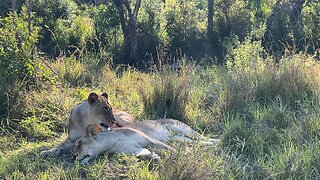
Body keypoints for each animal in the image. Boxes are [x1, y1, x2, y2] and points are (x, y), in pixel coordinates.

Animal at [74, 119, 220, 164]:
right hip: (177, 137)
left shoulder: (151, 140)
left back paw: (215, 141)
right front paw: (154, 157)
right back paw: (205, 145)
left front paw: (183, 155)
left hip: (181, 128)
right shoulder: (134, 150)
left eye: (79, 143)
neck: (109, 143)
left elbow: (170, 149)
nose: (72, 157)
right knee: (191, 141)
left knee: (200, 136)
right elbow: (144, 153)